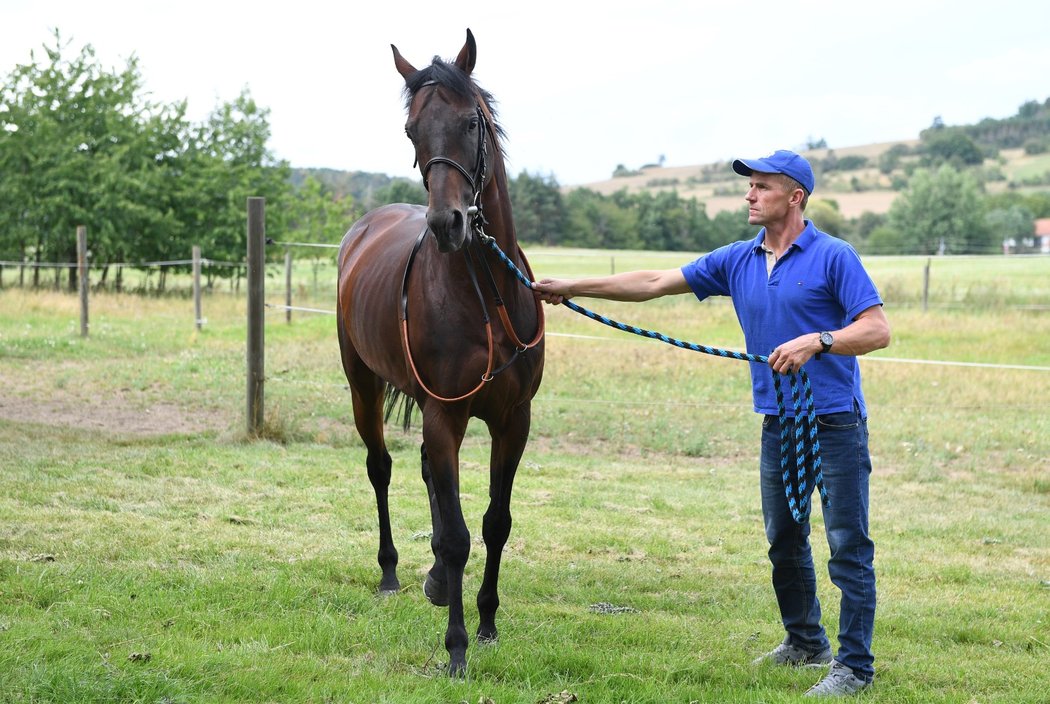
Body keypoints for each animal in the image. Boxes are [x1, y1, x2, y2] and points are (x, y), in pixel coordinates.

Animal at [336, 28, 546, 676]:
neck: (486, 296)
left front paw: (487, 623)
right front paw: (455, 648)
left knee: (430, 474)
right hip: (363, 386)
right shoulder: (445, 413)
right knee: (382, 468)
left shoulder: (513, 420)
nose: (448, 222)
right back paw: (391, 573)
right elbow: (456, 535)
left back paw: (431, 580)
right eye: (411, 130)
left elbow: (495, 523)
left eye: (471, 122)